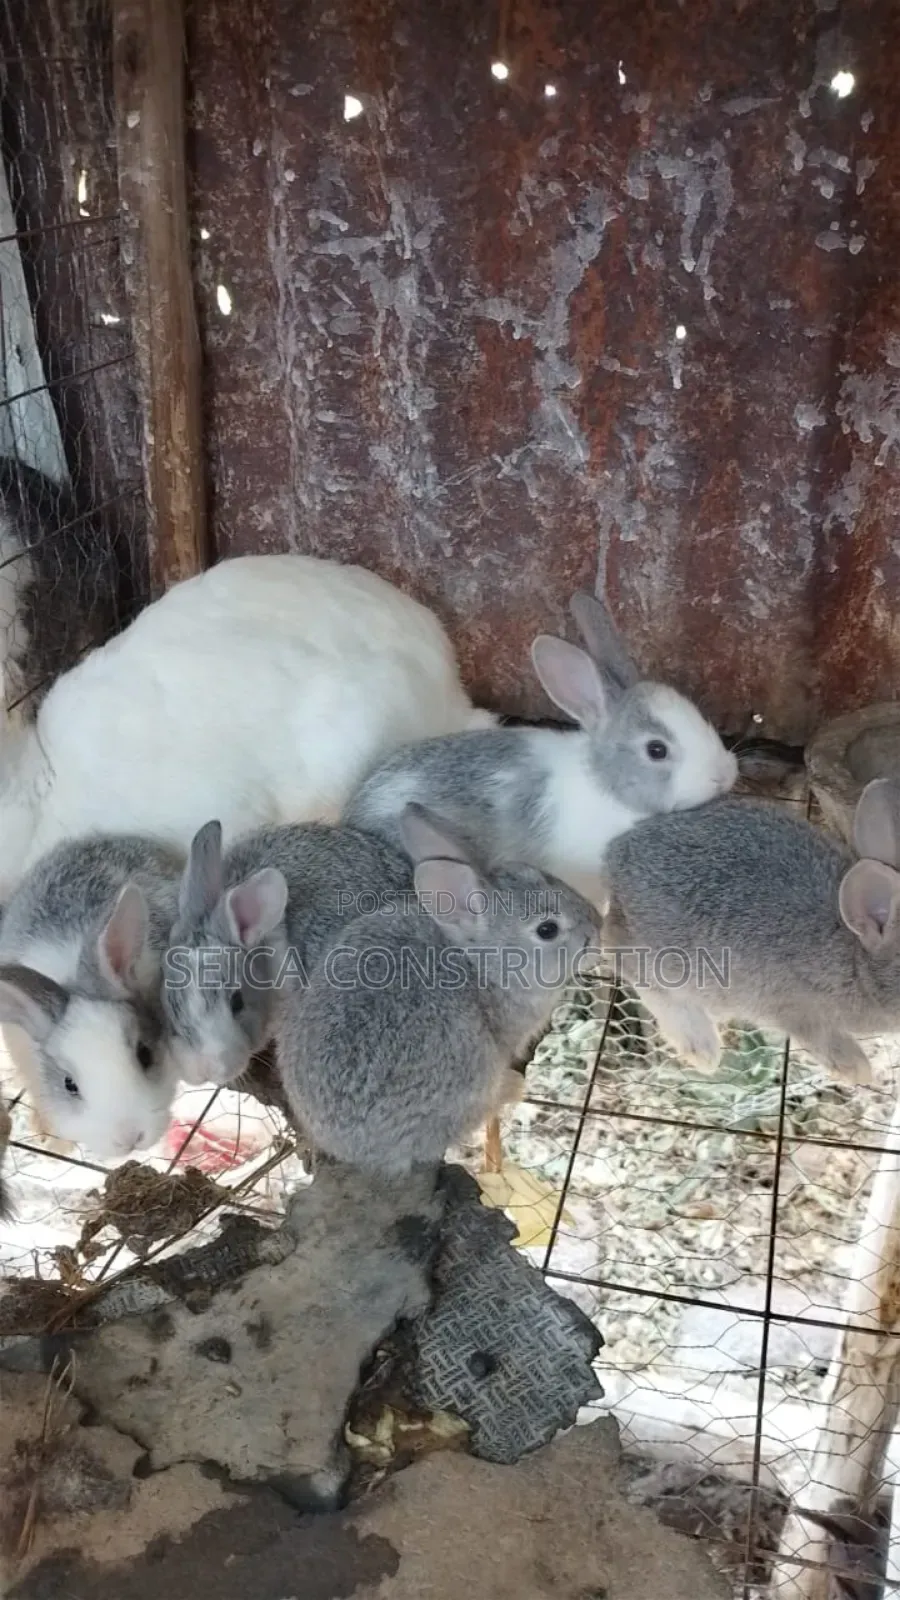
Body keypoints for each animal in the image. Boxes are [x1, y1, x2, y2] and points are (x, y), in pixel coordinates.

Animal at [275, 803, 605, 1176]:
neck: (479, 960)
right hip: (472, 1069)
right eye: (547, 930)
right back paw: (511, 1087)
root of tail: (355, 1149)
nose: (597, 930)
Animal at [599, 775, 900, 1086]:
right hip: (670, 962)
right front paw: (857, 1070)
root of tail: (614, 859)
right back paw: (701, 1048)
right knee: (621, 955)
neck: (856, 961)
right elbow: (821, 1038)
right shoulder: (795, 1008)